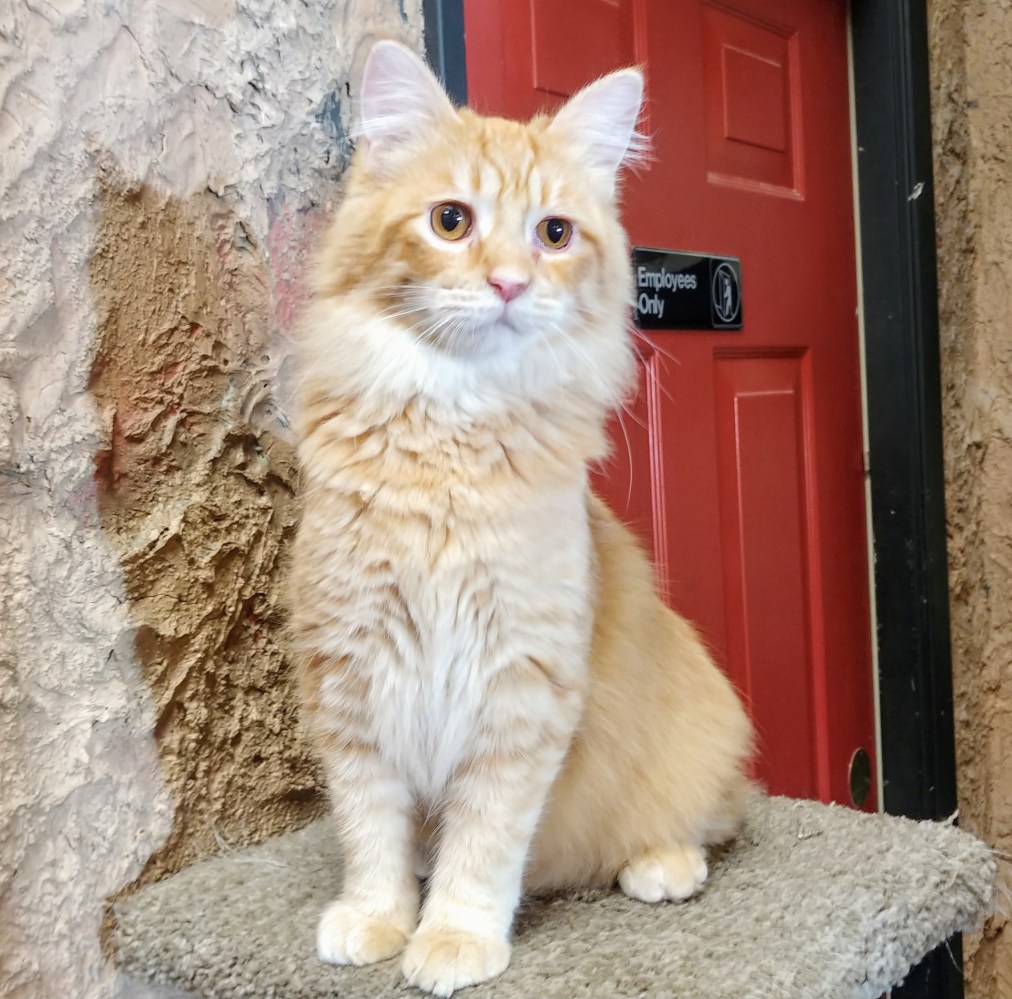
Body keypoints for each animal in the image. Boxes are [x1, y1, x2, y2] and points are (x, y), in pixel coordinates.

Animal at [289, 40, 756, 999]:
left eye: (555, 234)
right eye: (451, 221)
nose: (508, 283)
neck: (452, 438)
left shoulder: (521, 685)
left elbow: (484, 838)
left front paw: (453, 936)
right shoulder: (350, 673)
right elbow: (371, 826)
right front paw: (379, 915)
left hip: (701, 731)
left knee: (718, 815)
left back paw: (663, 863)